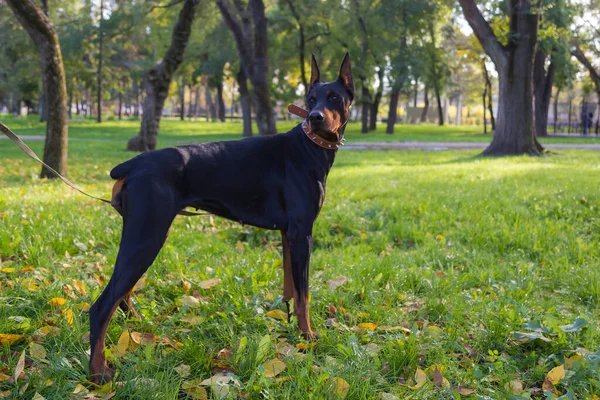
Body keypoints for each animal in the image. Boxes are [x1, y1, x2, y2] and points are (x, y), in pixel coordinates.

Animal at [88, 52, 352, 382]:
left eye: (334, 97)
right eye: (311, 98)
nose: (314, 117)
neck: (309, 147)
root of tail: (133, 164)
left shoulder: (289, 234)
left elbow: (291, 289)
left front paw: (289, 323)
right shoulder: (303, 233)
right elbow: (304, 294)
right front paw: (308, 336)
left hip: (144, 236)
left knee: (122, 295)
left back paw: (137, 328)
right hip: (147, 237)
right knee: (102, 306)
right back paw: (98, 373)